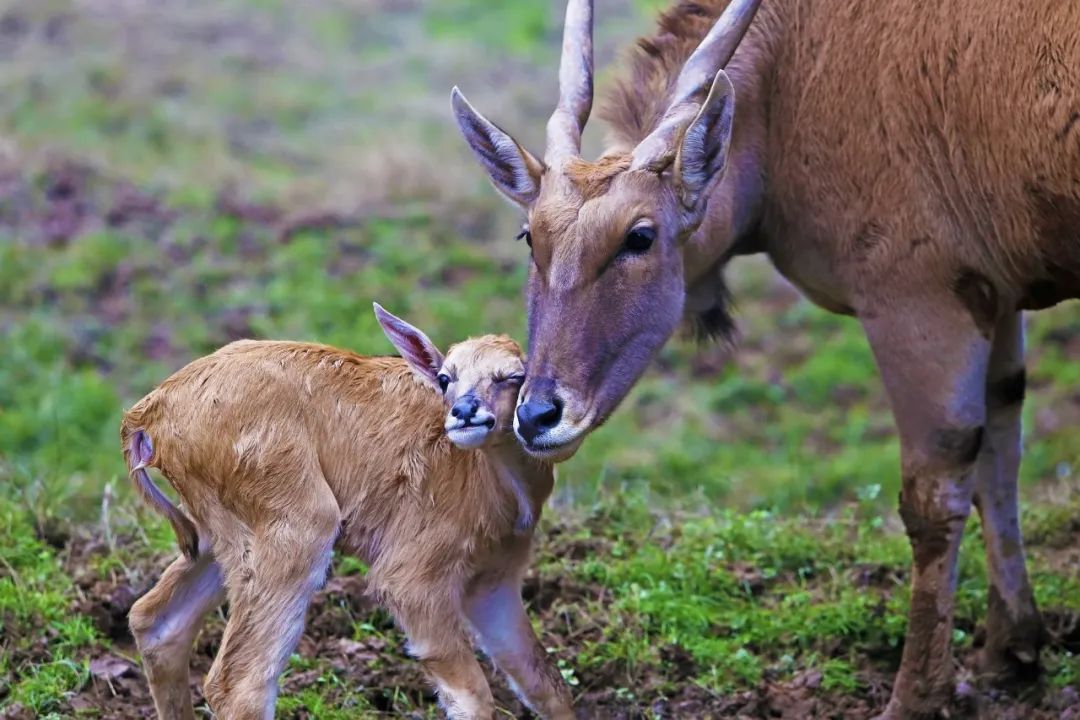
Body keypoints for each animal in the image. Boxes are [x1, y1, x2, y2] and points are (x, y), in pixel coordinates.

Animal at [449, 0, 1080, 716]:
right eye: (530, 236)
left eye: (640, 237)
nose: (536, 416)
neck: (791, 77)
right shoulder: (994, 296)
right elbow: (1002, 450)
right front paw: (1012, 650)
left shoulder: (918, 302)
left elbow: (934, 495)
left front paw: (915, 696)